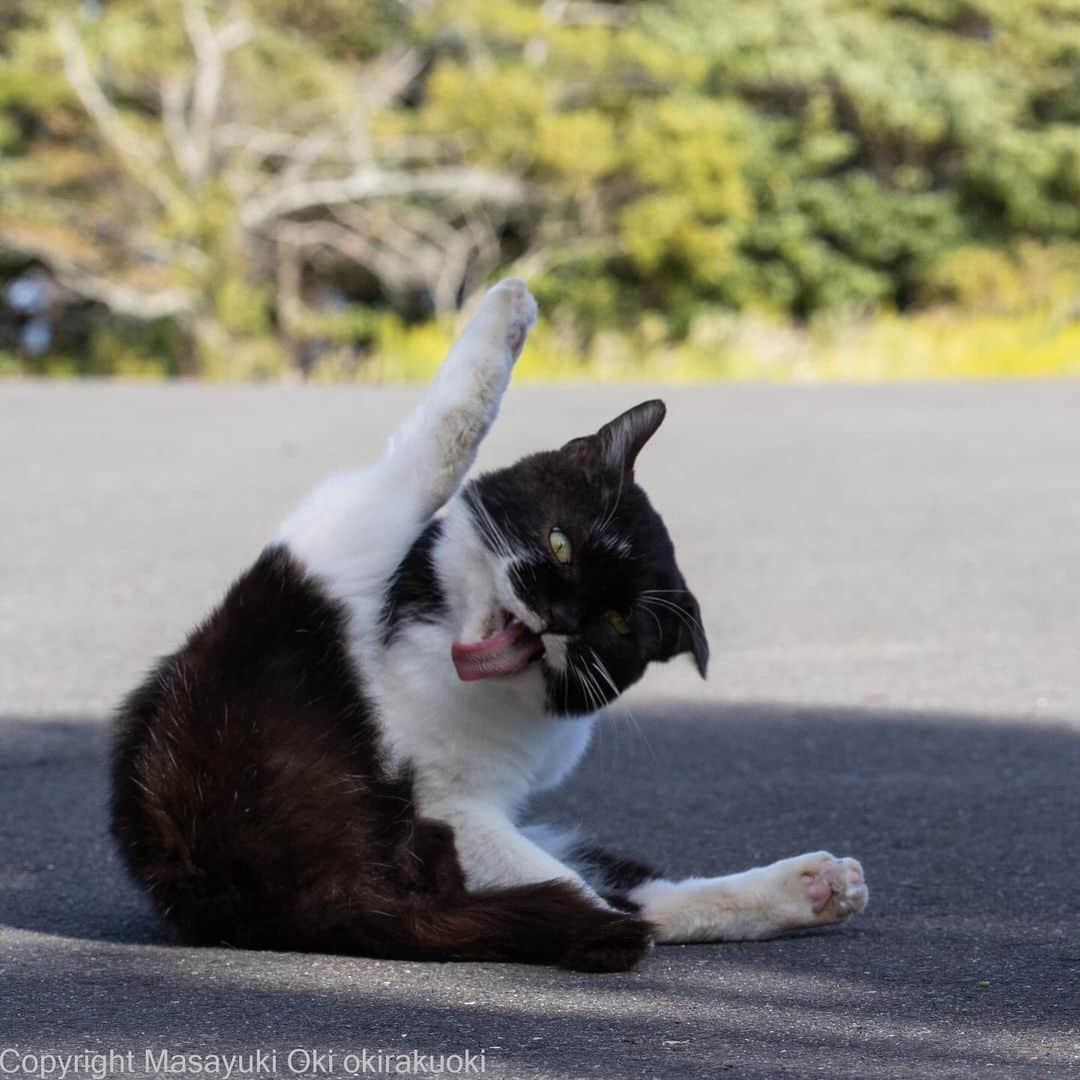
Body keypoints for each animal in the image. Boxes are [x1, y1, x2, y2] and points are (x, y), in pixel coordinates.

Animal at [111, 278, 868, 972]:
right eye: (560, 544)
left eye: (618, 622)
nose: (562, 617)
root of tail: (315, 901)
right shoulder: (452, 797)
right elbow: (447, 435)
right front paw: (509, 306)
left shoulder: (461, 803)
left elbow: (441, 442)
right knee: (609, 903)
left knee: (622, 899)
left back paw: (812, 887)